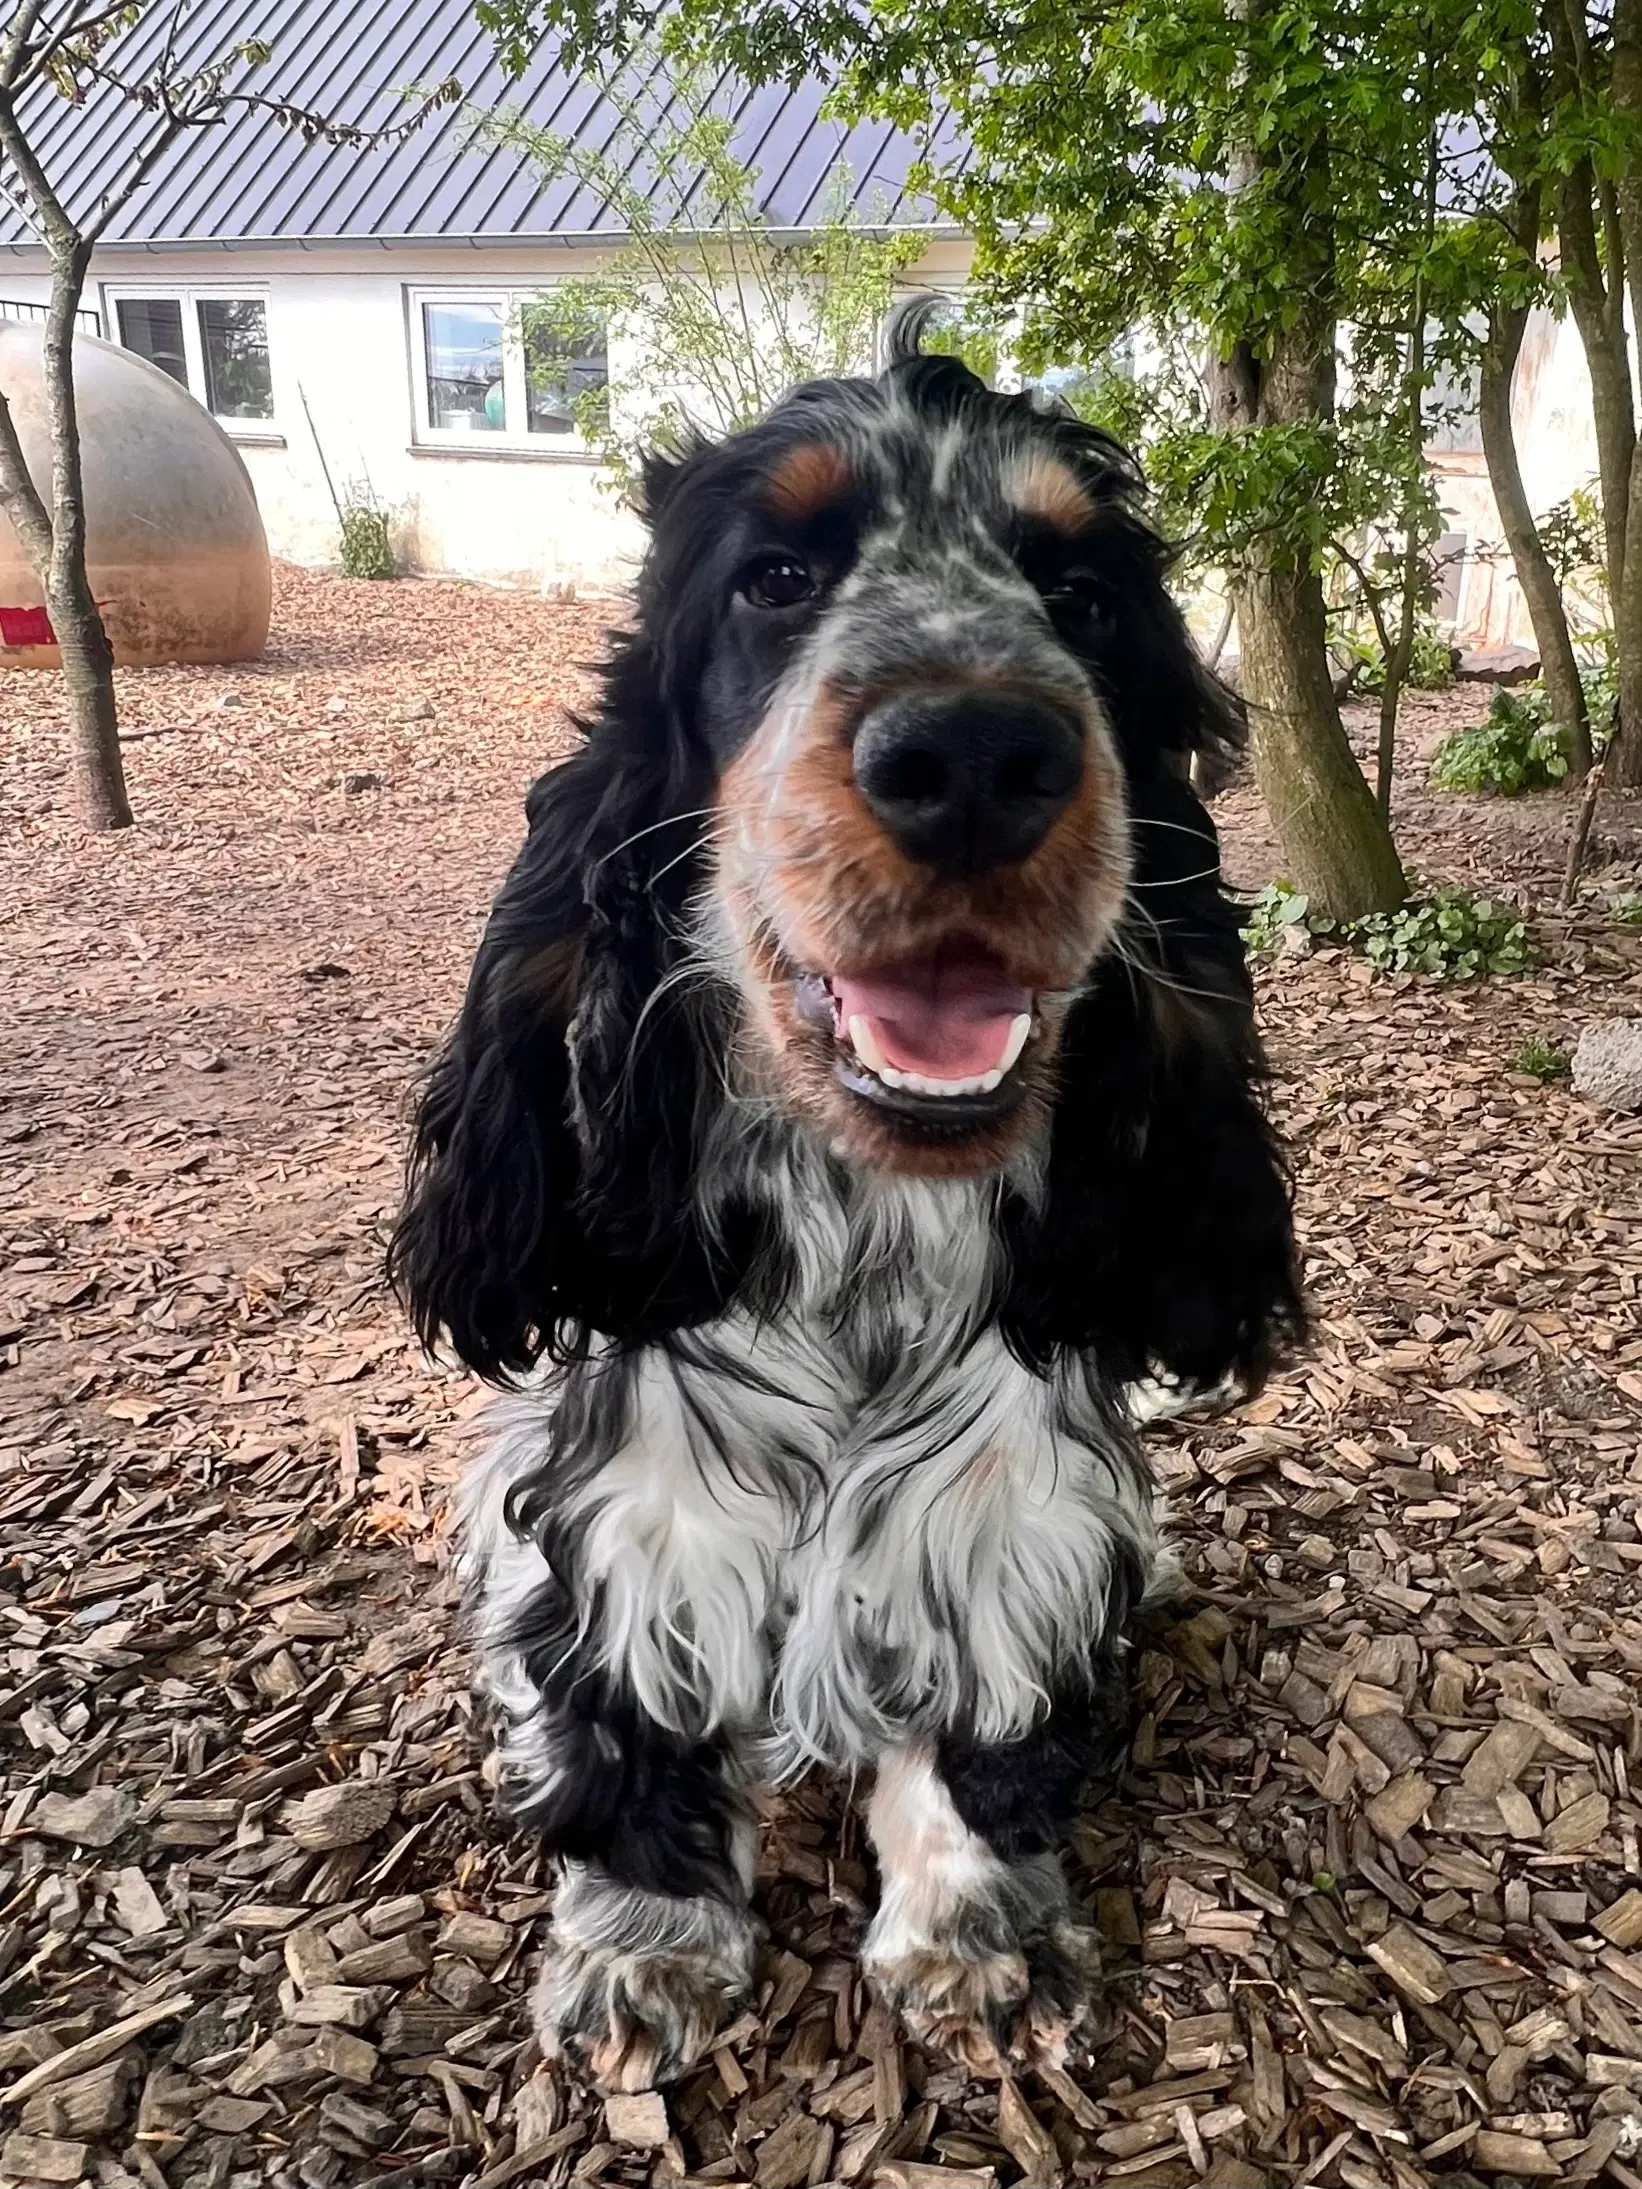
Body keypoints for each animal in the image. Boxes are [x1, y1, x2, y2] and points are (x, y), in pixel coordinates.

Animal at [391, 304, 1304, 2083]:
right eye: (773, 579)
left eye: (1085, 599)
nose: (972, 754)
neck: (863, 1246)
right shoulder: (629, 1523)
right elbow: (630, 1724)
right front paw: (643, 1948)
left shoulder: (1014, 1527)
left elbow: (980, 1727)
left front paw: (979, 1941)